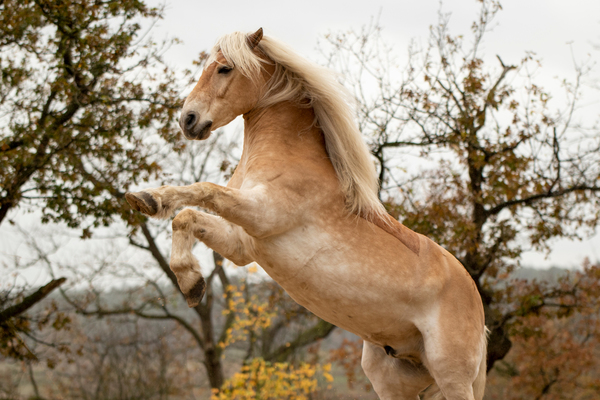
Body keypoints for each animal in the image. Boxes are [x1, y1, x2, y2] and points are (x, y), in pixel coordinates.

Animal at [125, 28, 488, 400]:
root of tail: (476, 301)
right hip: (393, 380)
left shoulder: (262, 213)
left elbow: (204, 189)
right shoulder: (242, 243)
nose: (188, 120)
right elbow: (186, 216)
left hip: (452, 376)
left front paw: (150, 201)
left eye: (225, 68)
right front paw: (191, 282)